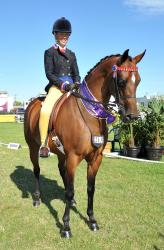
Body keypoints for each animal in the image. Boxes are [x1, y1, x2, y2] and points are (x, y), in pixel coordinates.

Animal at [23, 49, 145, 238]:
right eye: (121, 81)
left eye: (138, 80)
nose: (133, 116)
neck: (90, 114)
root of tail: (33, 103)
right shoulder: (73, 157)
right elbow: (70, 189)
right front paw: (66, 227)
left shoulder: (96, 158)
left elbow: (90, 188)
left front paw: (92, 220)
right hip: (33, 147)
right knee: (36, 170)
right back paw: (36, 199)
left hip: (61, 153)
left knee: (62, 171)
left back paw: (71, 201)